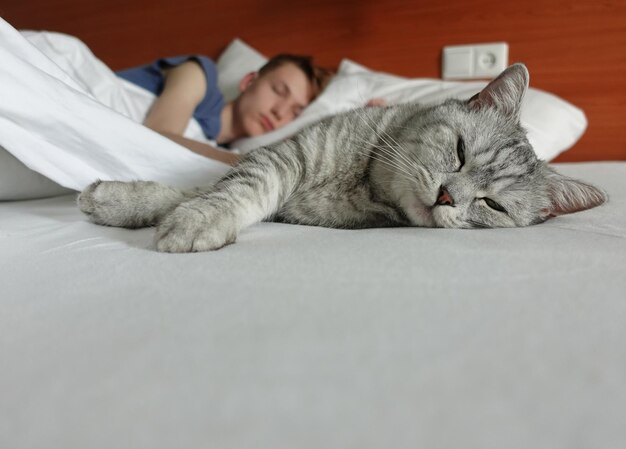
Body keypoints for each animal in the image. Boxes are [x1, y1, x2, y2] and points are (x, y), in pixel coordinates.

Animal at [77, 63, 604, 252]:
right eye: (459, 152)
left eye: (492, 205)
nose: (447, 196)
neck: (364, 183)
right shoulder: (282, 155)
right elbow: (214, 188)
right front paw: (125, 201)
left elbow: (221, 192)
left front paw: (192, 220)